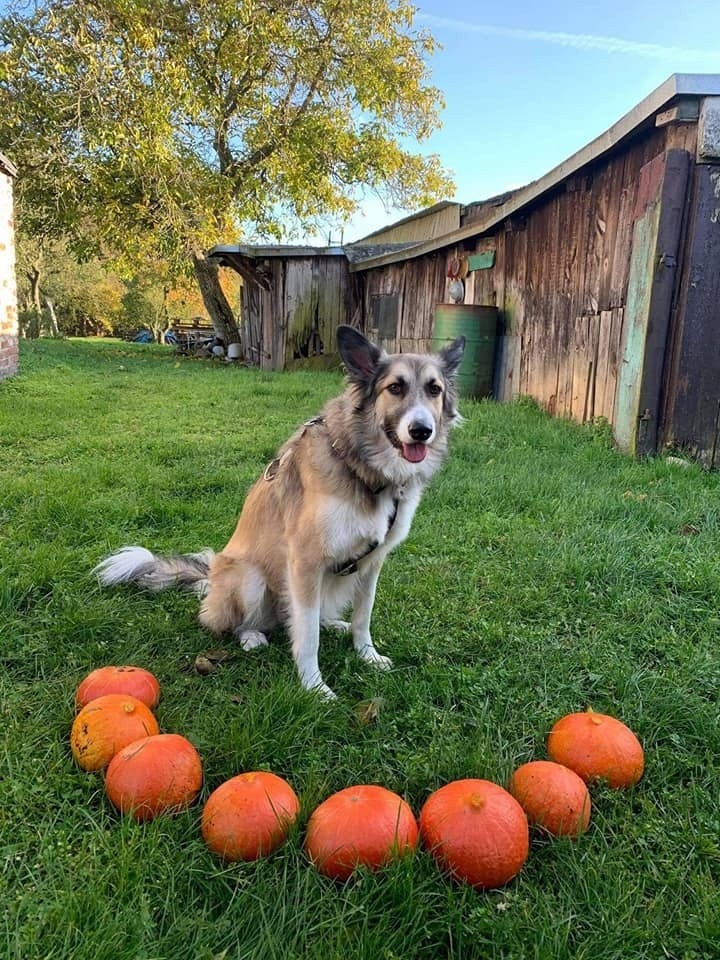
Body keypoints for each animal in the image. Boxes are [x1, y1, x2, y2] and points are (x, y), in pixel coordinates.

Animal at [94, 324, 466, 696]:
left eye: (434, 389)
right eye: (395, 388)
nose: (422, 431)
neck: (363, 468)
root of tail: (209, 578)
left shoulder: (372, 562)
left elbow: (363, 617)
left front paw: (367, 656)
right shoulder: (305, 561)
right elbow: (308, 636)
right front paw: (315, 687)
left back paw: (333, 623)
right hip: (251, 578)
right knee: (239, 623)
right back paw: (252, 636)